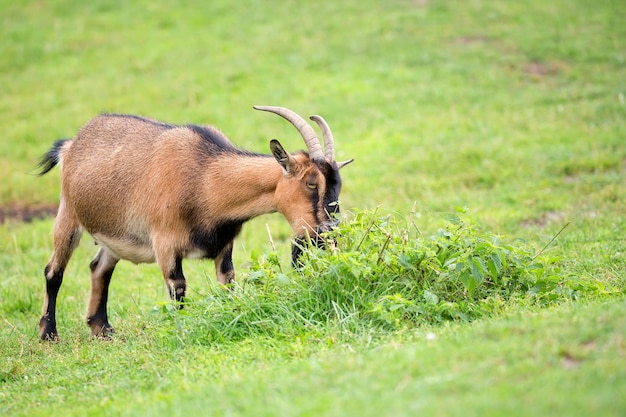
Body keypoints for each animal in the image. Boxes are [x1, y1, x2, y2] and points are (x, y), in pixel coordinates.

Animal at [36, 105, 352, 340]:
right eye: (311, 183)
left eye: (337, 184)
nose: (328, 234)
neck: (204, 178)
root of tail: (71, 145)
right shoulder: (165, 243)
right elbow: (178, 288)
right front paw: (183, 330)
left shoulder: (224, 245)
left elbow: (227, 283)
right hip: (68, 214)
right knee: (54, 272)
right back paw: (48, 334)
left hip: (113, 235)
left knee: (99, 268)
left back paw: (102, 329)